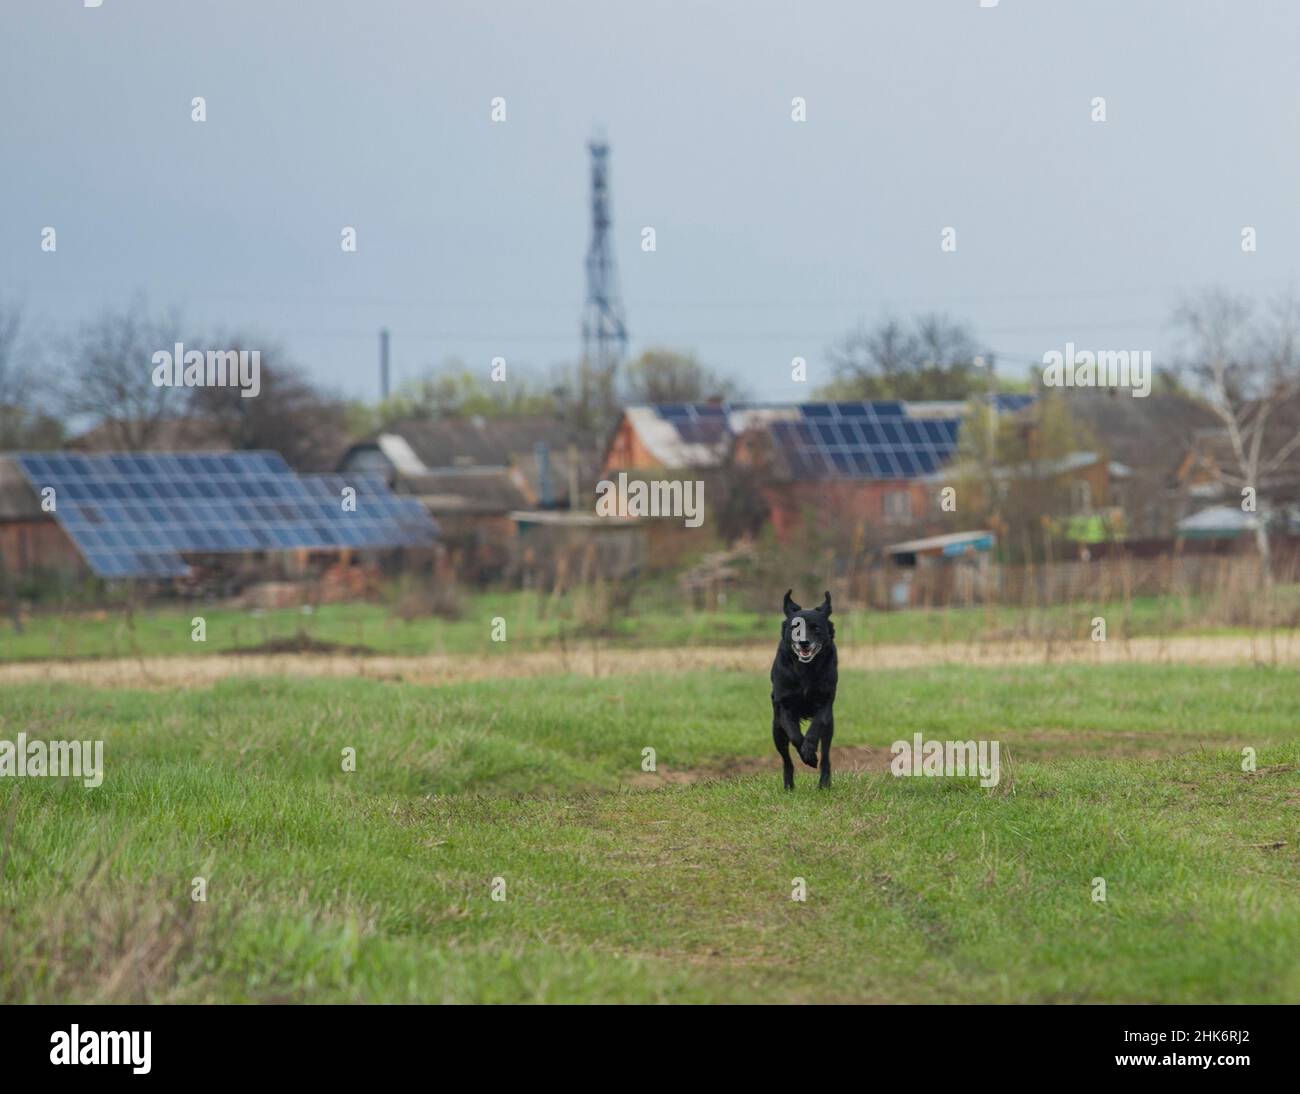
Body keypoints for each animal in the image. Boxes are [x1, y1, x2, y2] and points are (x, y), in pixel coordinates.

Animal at [764, 592, 837, 789]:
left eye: (816, 628)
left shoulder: (825, 703)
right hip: (776, 731)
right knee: (787, 760)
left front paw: (810, 752)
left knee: (826, 755)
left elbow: (815, 727)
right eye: (795, 627)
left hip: (830, 729)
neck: (805, 669)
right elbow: (796, 736)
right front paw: (808, 757)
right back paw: (788, 786)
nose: (804, 642)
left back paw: (824, 783)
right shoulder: (784, 707)